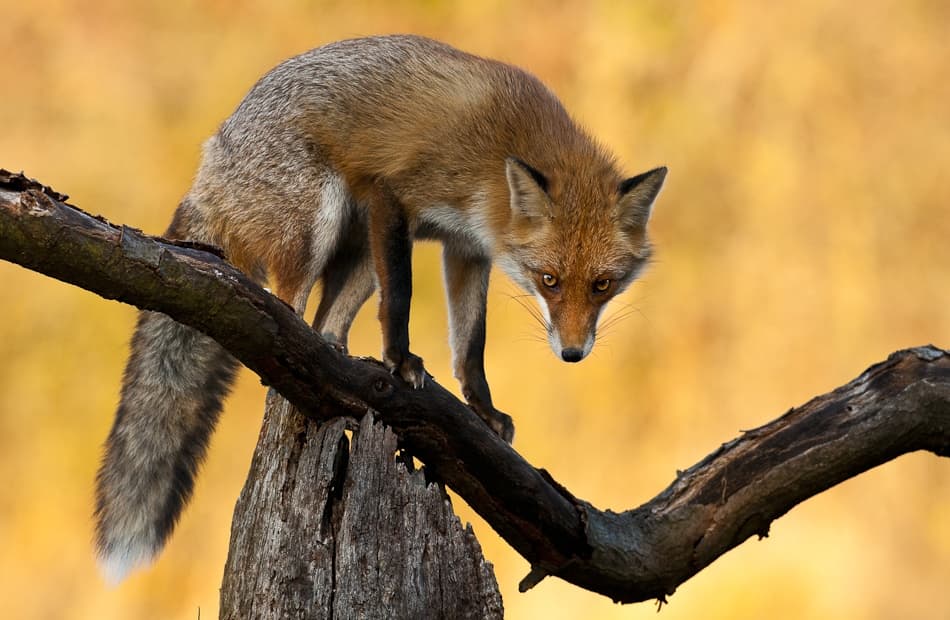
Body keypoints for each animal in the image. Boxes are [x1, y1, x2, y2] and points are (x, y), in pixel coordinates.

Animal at [94, 34, 666, 582]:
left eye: (602, 285)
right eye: (549, 281)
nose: (572, 354)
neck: (498, 156)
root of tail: (210, 159)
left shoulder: (467, 247)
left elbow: (471, 344)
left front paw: (483, 411)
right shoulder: (396, 196)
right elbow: (402, 299)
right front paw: (399, 362)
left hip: (361, 250)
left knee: (326, 324)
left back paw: (332, 363)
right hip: (318, 221)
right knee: (283, 313)